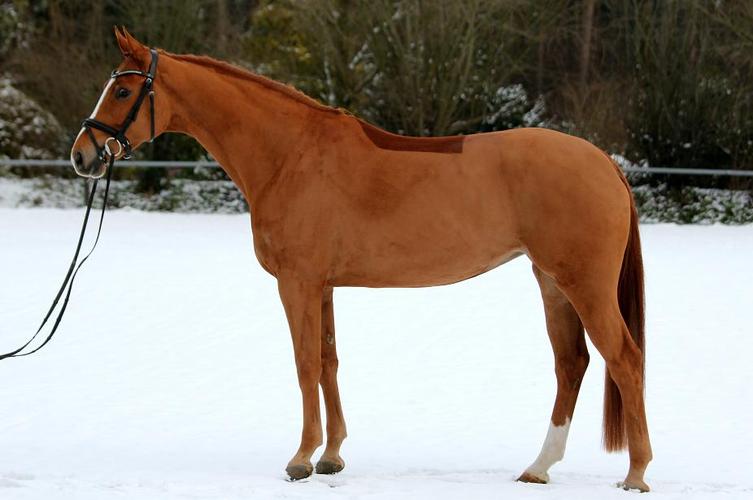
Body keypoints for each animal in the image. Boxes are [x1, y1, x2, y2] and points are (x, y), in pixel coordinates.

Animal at [70, 27, 652, 491]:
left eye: (123, 89)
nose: (82, 155)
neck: (290, 155)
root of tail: (604, 162)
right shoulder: (324, 285)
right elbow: (329, 362)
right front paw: (331, 456)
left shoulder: (297, 283)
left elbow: (305, 363)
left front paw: (301, 458)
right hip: (552, 281)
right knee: (571, 363)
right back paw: (539, 467)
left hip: (584, 285)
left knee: (624, 359)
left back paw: (636, 473)